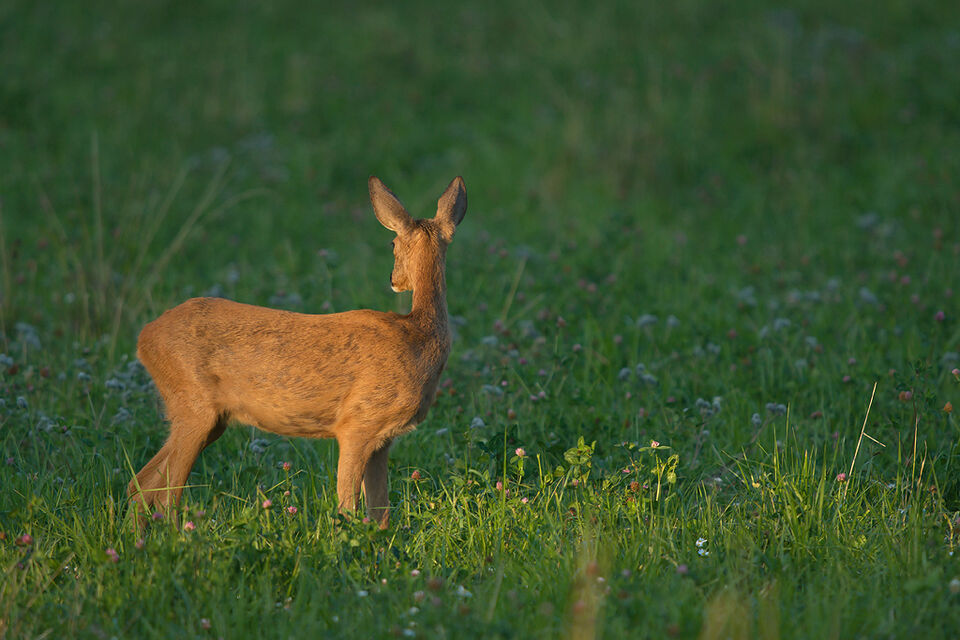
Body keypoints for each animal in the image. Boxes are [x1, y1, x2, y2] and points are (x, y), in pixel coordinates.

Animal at [128, 176, 467, 529]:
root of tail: (144, 337)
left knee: (141, 485)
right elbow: (348, 506)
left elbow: (380, 513)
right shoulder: (356, 423)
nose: (393, 280)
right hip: (194, 407)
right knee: (162, 494)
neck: (418, 337)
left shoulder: (383, 439)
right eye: (392, 243)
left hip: (206, 417)